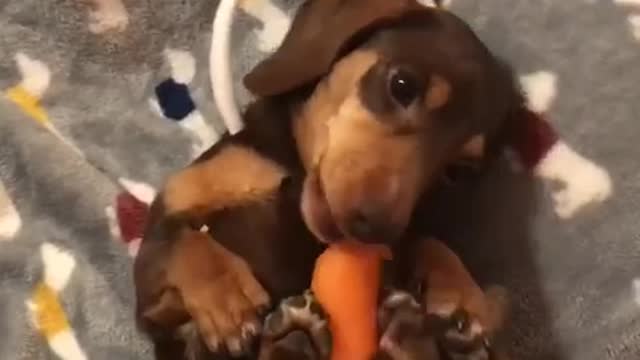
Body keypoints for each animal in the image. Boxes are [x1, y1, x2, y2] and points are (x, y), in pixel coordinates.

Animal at [132, 1, 524, 358]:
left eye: (456, 171)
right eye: (402, 85)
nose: (375, 229)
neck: (295, 176)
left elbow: (429, 241)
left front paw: (464, 298)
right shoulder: (159, 310)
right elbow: (181, 240)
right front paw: (227, 297)